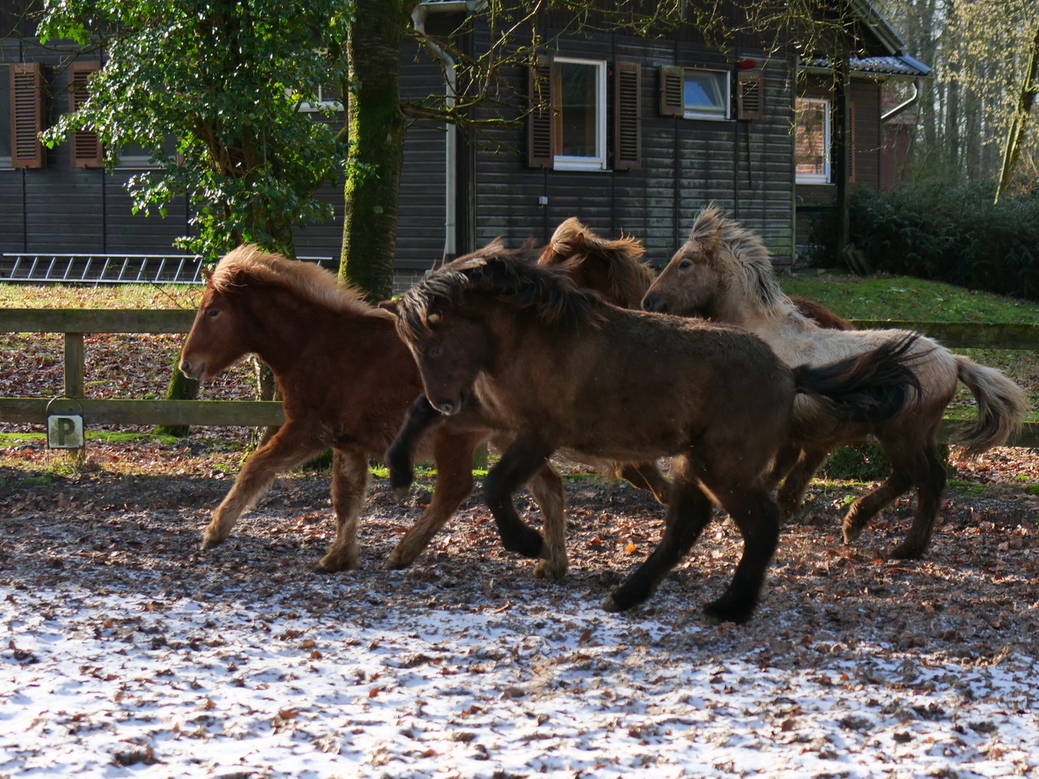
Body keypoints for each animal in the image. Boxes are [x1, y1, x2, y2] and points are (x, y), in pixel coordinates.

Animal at [179, 244, 511, 573]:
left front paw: (214, 532)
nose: (186, 365)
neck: (317, 343)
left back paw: (402, 553)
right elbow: (346, 495)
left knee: (452, 489)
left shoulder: (307, 430)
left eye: (213, 311)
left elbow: (256, 467)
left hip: (454, 438)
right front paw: (340, 557)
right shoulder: (347, 442)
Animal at [392, 247, 922, 627]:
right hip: (697, 464)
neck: (535, 338)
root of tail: (789, 375)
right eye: (414, 349)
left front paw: (527, 544)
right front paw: (399, 471)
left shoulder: (537, 433)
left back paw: (729, 607)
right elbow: (417, 414)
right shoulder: (496, 417)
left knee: (759, 525)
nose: (447, 400)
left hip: (724, 467)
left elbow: (496, 485)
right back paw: (627, 596)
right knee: (688, 525)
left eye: (434, 346)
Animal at [640, 205, 1030, 560]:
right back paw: (904, 543)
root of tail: (953, 359)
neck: (766, 333)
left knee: (915, 475)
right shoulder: (797, 434)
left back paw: (870, 530)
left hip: (900, 431)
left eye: (685, 263)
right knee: (929, 478)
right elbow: (784, 475)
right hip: (922, 432)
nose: (650, 302)